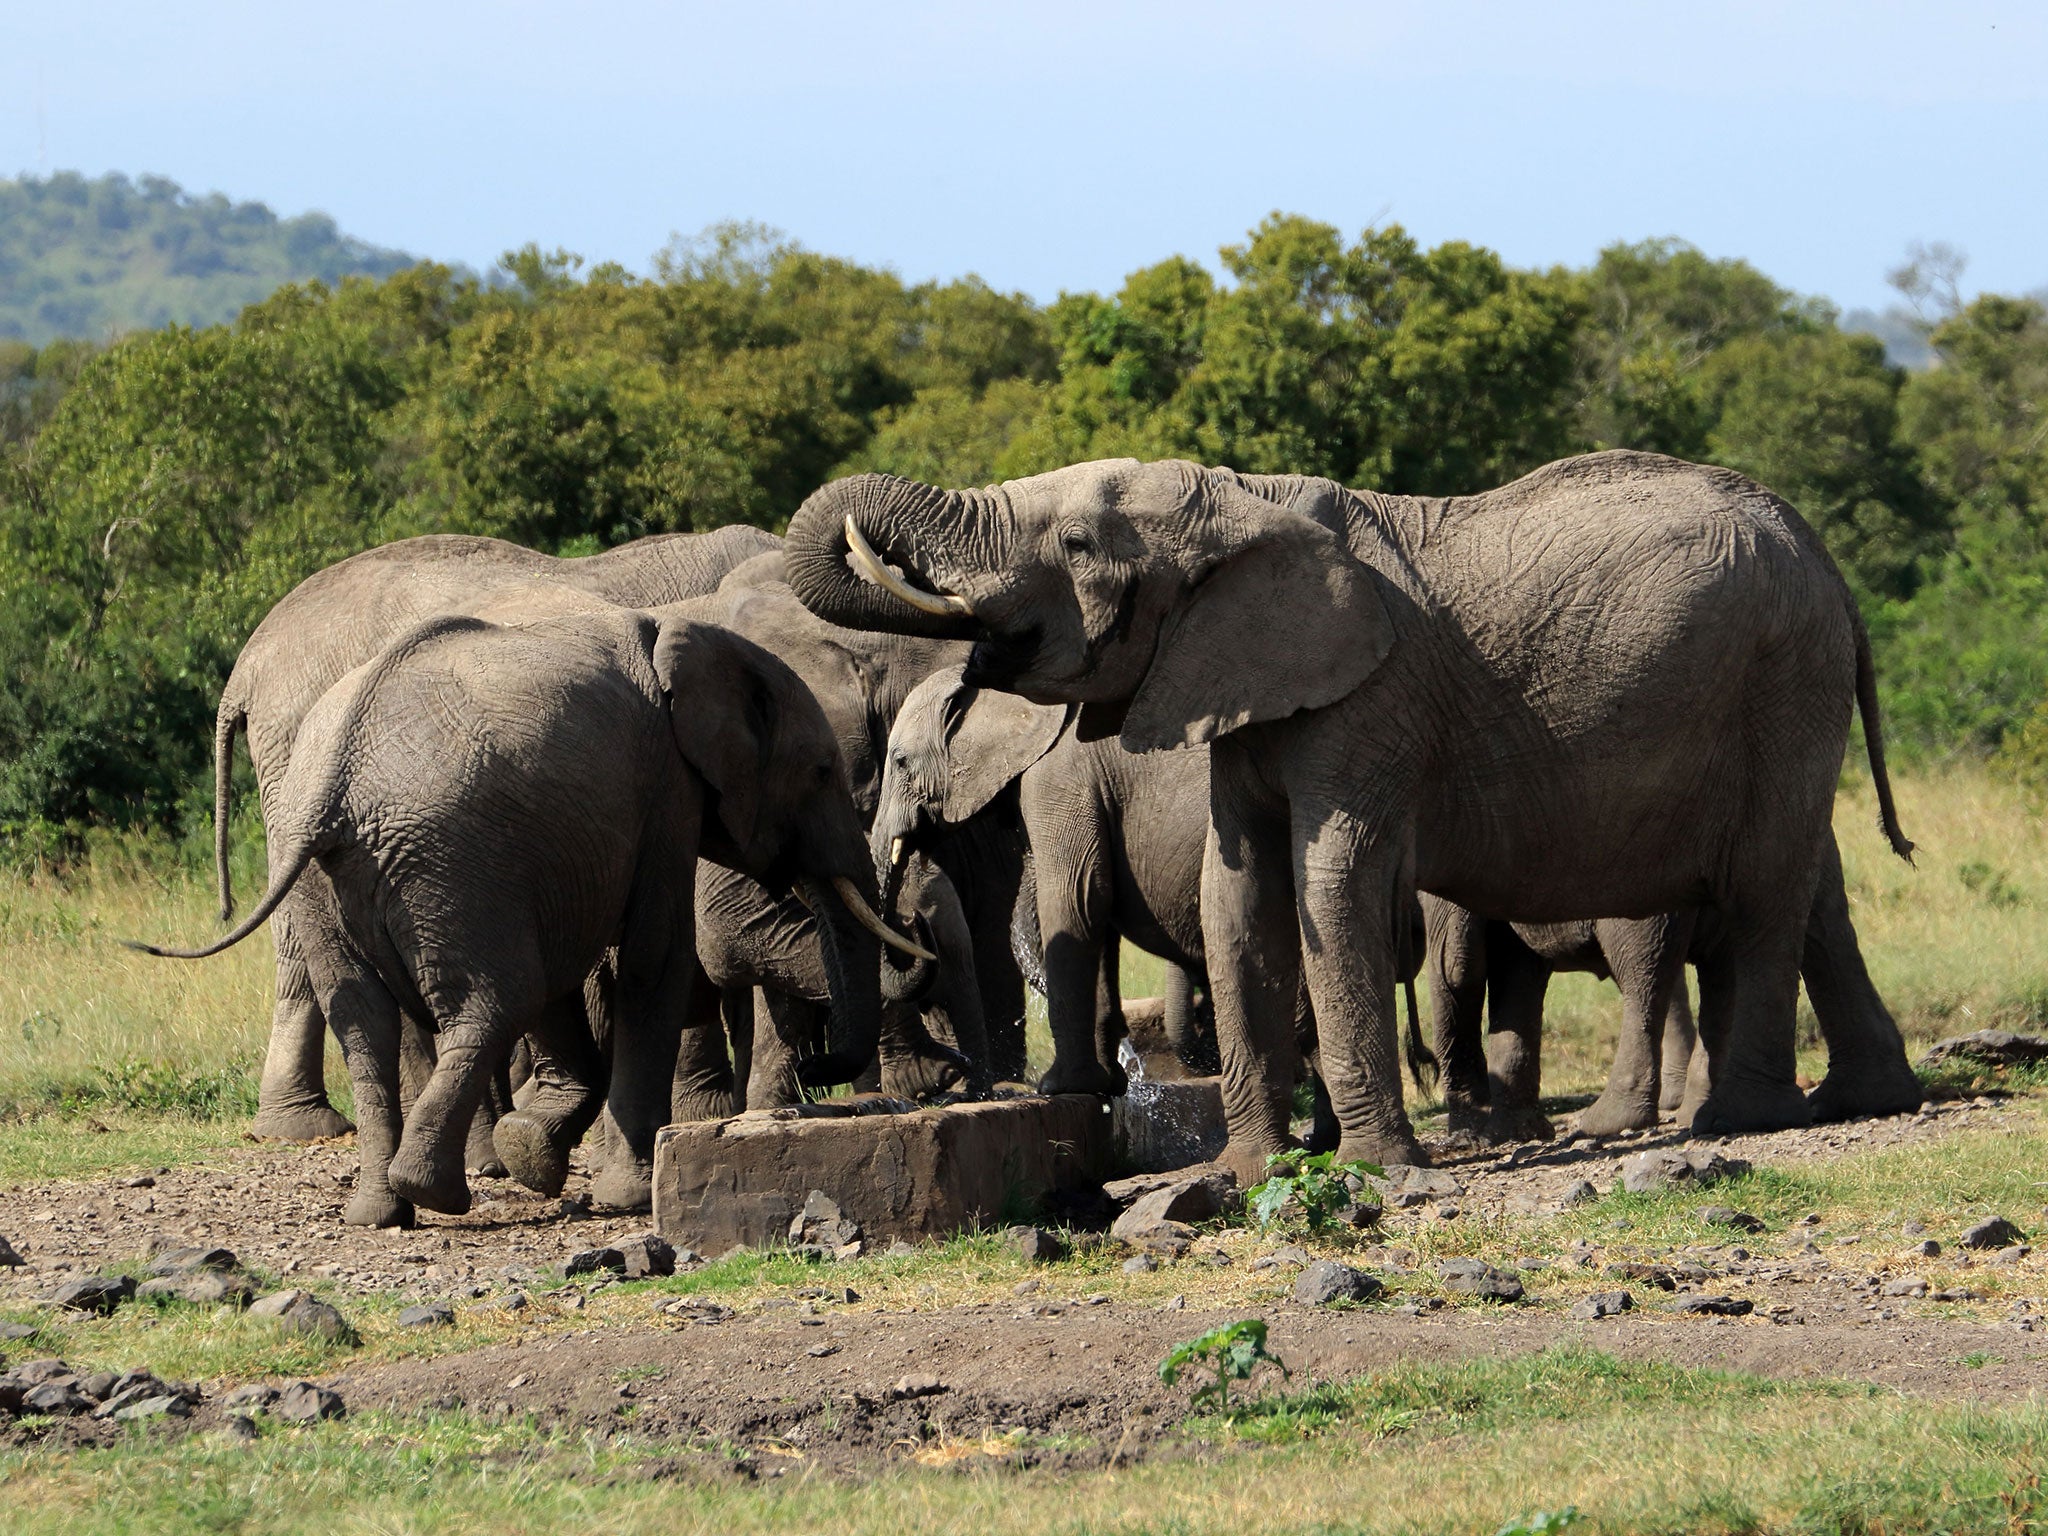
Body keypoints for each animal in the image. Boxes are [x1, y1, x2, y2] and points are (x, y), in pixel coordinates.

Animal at [144, 606, 937, 1220]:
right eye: (822, 772)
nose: (823, 1066)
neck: (688, 633)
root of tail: (336, 771)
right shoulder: (663, 791)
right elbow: (652, 958)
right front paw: (622, 1195)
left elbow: (572, 969)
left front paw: (536, 1150)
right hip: (450, 856)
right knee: (495, 999)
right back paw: (434, 1195)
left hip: (324, 866)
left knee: (371, 1020)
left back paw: (383, 1210)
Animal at [778, 448, 1916, 1179]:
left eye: (1073, 540)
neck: (1241, 502)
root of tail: (1826, 561)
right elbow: (1237, 895)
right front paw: (1249, 1172)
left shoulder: (1369, 699)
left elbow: (1333, 884)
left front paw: (1378, 1171)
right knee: (1809, 888)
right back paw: (1861, 1102)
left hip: (1781, 679)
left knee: (1762, 890)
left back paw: (1733, 1121)